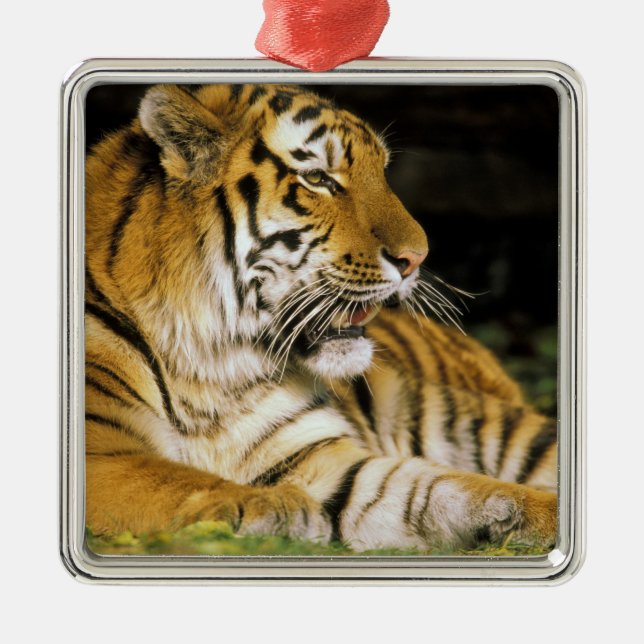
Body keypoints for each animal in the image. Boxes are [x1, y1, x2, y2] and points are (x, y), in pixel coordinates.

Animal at [85, 83, 557, 552]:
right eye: (317, 179)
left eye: (381, 173)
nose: (417, 258)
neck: (216, 369)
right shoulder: (103, 454)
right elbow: (175, 480)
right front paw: (275, 504)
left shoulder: (321, 458)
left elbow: (452, 488)